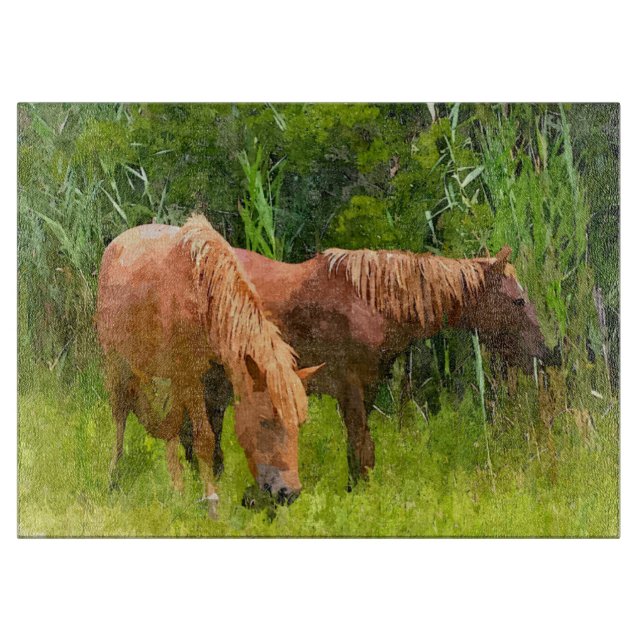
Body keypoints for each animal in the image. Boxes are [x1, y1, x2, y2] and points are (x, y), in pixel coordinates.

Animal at [96, 214, 322, 518]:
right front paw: (212, 503)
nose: (289, 492)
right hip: (118, 365)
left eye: (299, 423)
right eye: (265, 422)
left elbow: (212, 445)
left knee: (172, 429)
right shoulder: (190, 377)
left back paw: (177, 489)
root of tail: (116, 244)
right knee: (120, 417)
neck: (204, 297)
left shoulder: (216, 384)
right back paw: (115, 478)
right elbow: (203, 439)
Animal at [191, 244, 555, 489]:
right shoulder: (349, 386)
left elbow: (362, 449)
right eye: (517, 301)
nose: (547, 355)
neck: (371, 303)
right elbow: (360, 447)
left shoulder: (368, 387)